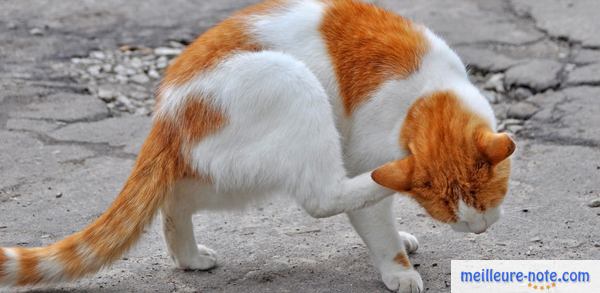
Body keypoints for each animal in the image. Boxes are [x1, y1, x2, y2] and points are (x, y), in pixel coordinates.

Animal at [0, 0, 516, 292]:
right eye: (445, 211)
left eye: (487, 197)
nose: (477, 229)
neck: (424, 93)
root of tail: (166, 111)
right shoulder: (367, 153)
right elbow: (377, 223)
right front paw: (399, 269)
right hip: (289, 80)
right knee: (322, 196)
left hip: (230, 173)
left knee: (174, 198)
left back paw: (188, 257)